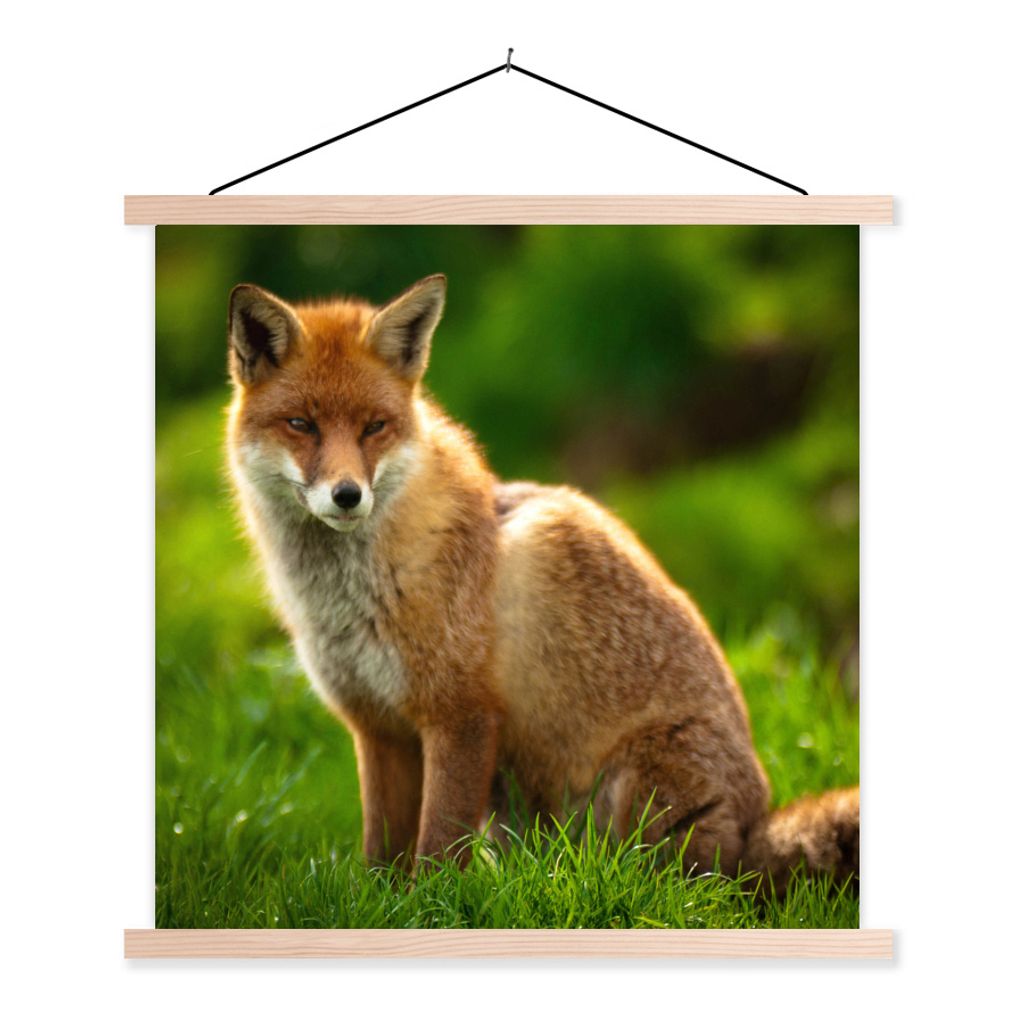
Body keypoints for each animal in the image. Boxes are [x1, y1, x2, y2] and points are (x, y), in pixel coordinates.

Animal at [225, 272, 859, 889]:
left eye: (374, 427)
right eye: (301, 425)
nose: (348, 495)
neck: (350, 598)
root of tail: (754, 832)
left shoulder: (461, 715)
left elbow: (436, 850)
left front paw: (428, 906)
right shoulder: (377, 727)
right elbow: (380, 853)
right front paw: (379, 904)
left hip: (632, 797)